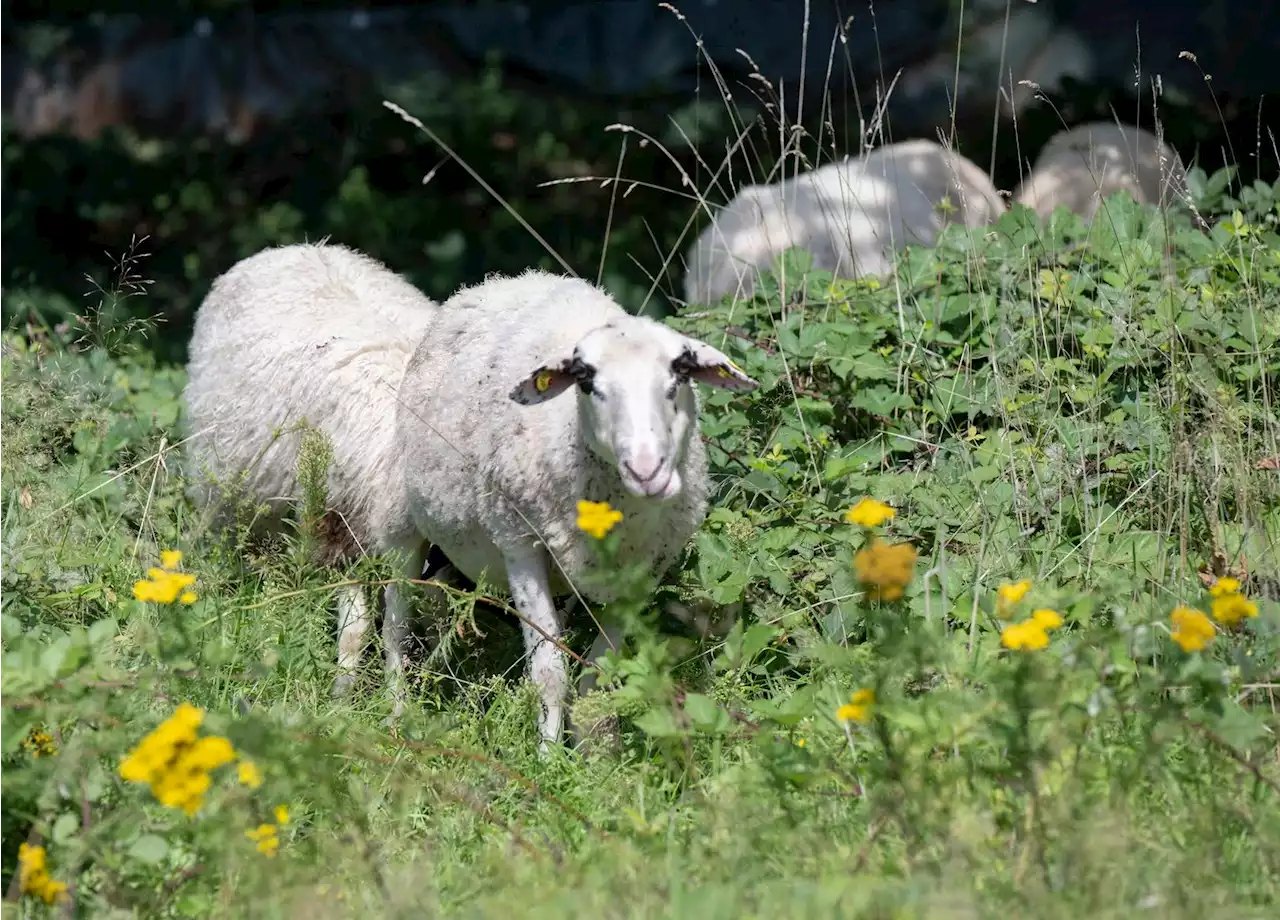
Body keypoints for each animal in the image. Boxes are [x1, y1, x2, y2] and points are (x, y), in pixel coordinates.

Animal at [180, 240, 440, 701]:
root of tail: (296, 246)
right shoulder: (341, 526)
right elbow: (359, 628)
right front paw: (343, 697)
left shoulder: (408, 544)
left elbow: (398, 626)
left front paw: (399, 701)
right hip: (229, 488)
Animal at [391, 271, 757, 747]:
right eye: (586, 381)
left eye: (680, 374)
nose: (647, 470)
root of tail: (509, 278)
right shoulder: (520, 546)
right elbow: (549, 674)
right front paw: (548, 756)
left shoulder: (642, 572)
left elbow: (597, 677)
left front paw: (596, 751)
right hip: (407, 527)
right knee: (395, 614)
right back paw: (395, 709)